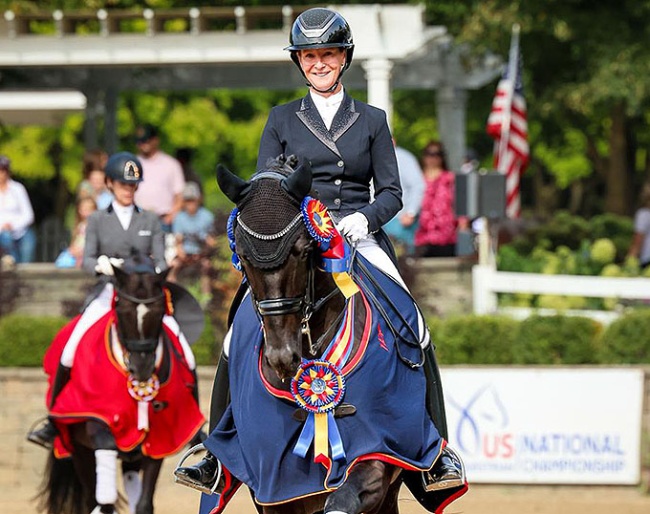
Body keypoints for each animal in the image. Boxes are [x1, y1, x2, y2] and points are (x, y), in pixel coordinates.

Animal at [39, 260, 201, 512]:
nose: (141, 368)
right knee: (92, 497)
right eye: (122, 310)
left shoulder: (160, 439)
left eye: (159, 312)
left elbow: (144, 504)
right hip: (80, 450)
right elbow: (104, 502)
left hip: (131, 457)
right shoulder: (99, 424)